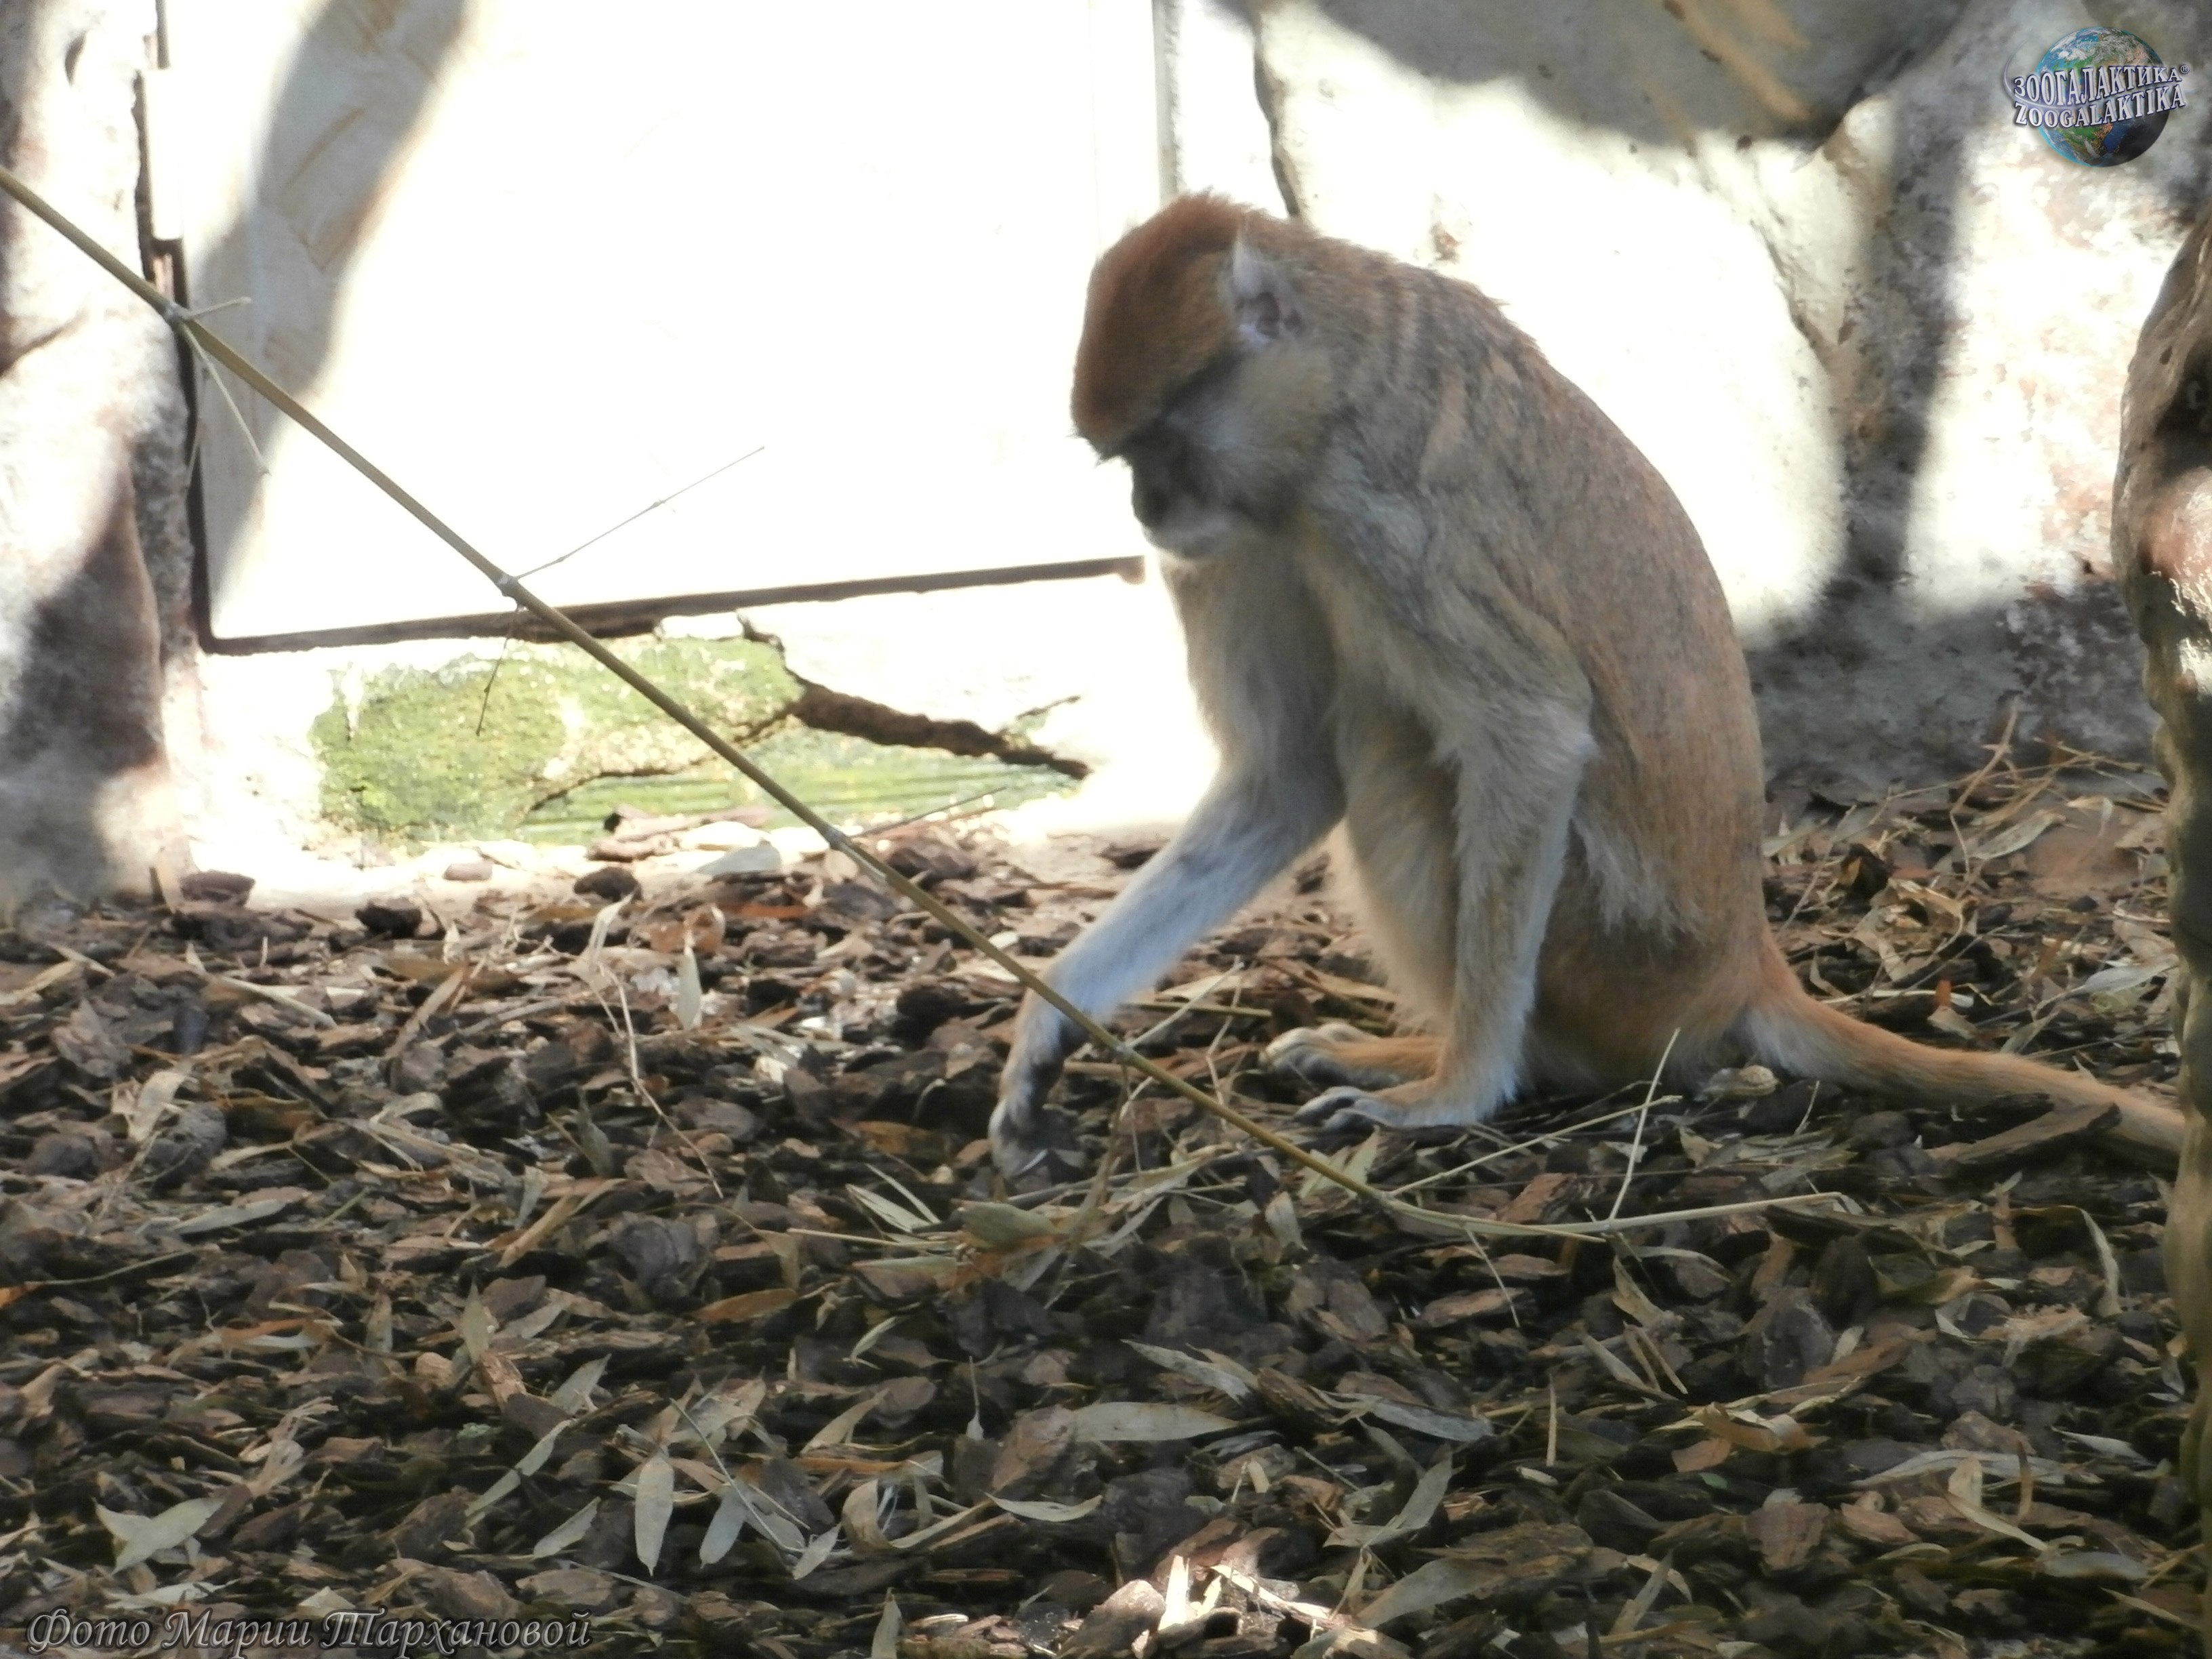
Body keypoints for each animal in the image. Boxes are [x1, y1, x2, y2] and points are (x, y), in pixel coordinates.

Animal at [987, 193, 2187, 1179]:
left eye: (1163, 442)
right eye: (1121, 455)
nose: (1146, 508)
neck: (1338, 380)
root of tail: (1744, 966)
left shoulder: (1383, 526)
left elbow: (1533, 734)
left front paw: (1458, 1094)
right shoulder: (1245, 546)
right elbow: (1284, 777)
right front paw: (1046, 1030)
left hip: (1614, 953)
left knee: (1398, 749)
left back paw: (1483, 1063)